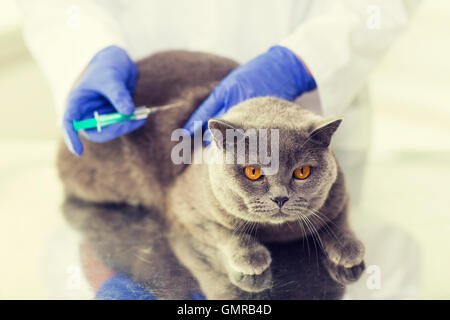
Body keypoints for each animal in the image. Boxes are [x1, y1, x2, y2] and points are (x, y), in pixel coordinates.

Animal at [58, 50, 364, 300]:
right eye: (253, 172)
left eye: (302, 172)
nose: (280, 198)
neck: (277, 233)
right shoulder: (184, 208)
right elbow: (226, 232)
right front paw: (251, 256)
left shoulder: (340, 193)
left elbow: (339, 221)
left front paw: (349, 248)